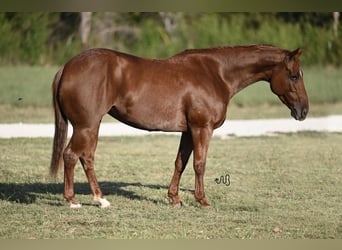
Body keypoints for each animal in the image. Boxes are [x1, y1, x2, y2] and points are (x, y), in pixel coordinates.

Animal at [50, 44, 310, 208]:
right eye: (294, 75)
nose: (303, 111)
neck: (216, 74)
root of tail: (67, 67)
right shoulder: (202, 128)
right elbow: (199, 164)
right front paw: (202, 200)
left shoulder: (188, 131)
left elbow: (180, 163)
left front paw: (174, 199)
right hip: (86, 126)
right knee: (71, 155)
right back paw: (75, 201)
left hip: (91, 127)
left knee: (86, 157)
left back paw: (100, 198)